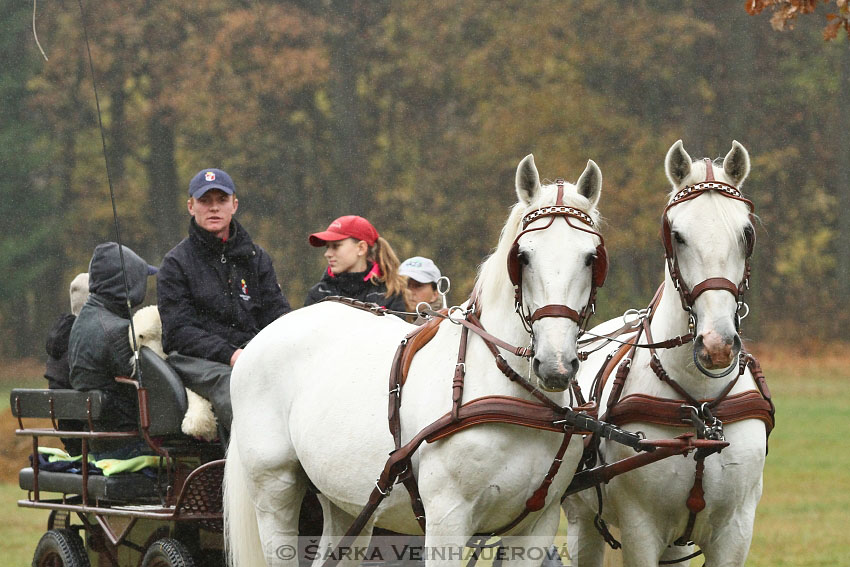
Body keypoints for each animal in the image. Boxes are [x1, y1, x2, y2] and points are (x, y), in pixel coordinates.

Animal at [222, 154, 608, 567]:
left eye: (591, 258)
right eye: (523, 256)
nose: (555, 365)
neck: (514, 398)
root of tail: (261, 338)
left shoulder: (537, 523)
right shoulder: (447, 518)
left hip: (344, 498)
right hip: (274, 487)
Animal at [564, 140, 768, 564]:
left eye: (746, 233)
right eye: (678, 235)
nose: (717, 345)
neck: (701, 406)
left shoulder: (736, 530)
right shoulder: (642, 529)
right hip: (582, 523)